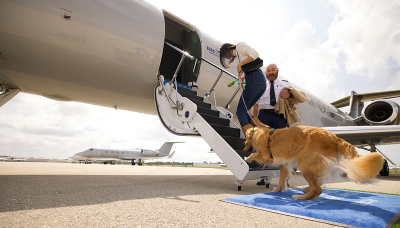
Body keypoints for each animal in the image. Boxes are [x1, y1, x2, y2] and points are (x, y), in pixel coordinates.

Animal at [244, 125, 384, 200]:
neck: (264, 134)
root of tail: (334, 137)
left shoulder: (263, 154)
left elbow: (254, 154)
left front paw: (247, 158)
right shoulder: (284, 165)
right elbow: (282, 179)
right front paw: (279, 189)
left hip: (305, 164)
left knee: (318, 189)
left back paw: (301, 197)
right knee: (319, 182)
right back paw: (306, 189)